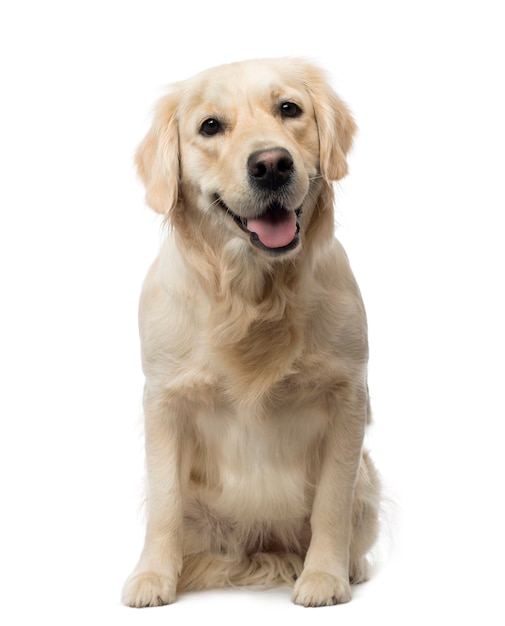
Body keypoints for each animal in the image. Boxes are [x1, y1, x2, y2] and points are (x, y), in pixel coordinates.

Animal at [122, 57, 378, 604]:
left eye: (290, 109)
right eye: (209, 126)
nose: (271, 164)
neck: (253, 294)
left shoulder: (348, 394)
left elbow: (332, 501)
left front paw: (324, 576)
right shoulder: (163, 398)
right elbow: (165, 501)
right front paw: (153, 577)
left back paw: (349, 566)